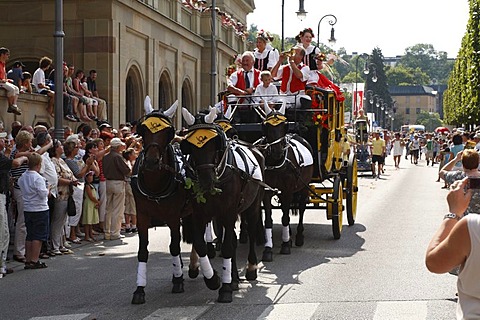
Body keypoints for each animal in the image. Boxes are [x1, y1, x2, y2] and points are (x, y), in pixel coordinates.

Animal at [131, 99, 193, 304]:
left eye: (168, 132)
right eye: (142, 130)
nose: (151, 162)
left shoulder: (173, 216)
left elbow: (174, 246)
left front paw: (178, 280)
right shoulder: (141, 216)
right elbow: (143, 251)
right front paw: (139, 289)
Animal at [180, 107, 264, 302]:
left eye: (213, 143)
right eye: (190, 146)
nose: (206, 181)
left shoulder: (229, 212)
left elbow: (226, 247)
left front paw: (225, 288)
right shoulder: (200, 214)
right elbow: (202, 245)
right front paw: (213, 279)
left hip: (253, 206)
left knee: (252, 231)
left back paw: (250, 268)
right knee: (231, 239)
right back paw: (233, 278)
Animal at [255, 101, 316, 262]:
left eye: (285, 125)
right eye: (265, 125)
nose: (277, 151)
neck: (277, 162)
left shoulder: (288, 190)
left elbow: (285, 217)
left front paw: (285, 245)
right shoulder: (267, 191)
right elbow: (269, 219)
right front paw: (268, 249)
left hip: (303, 187)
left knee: (301, 208)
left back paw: (298, 236)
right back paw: (288, 235)